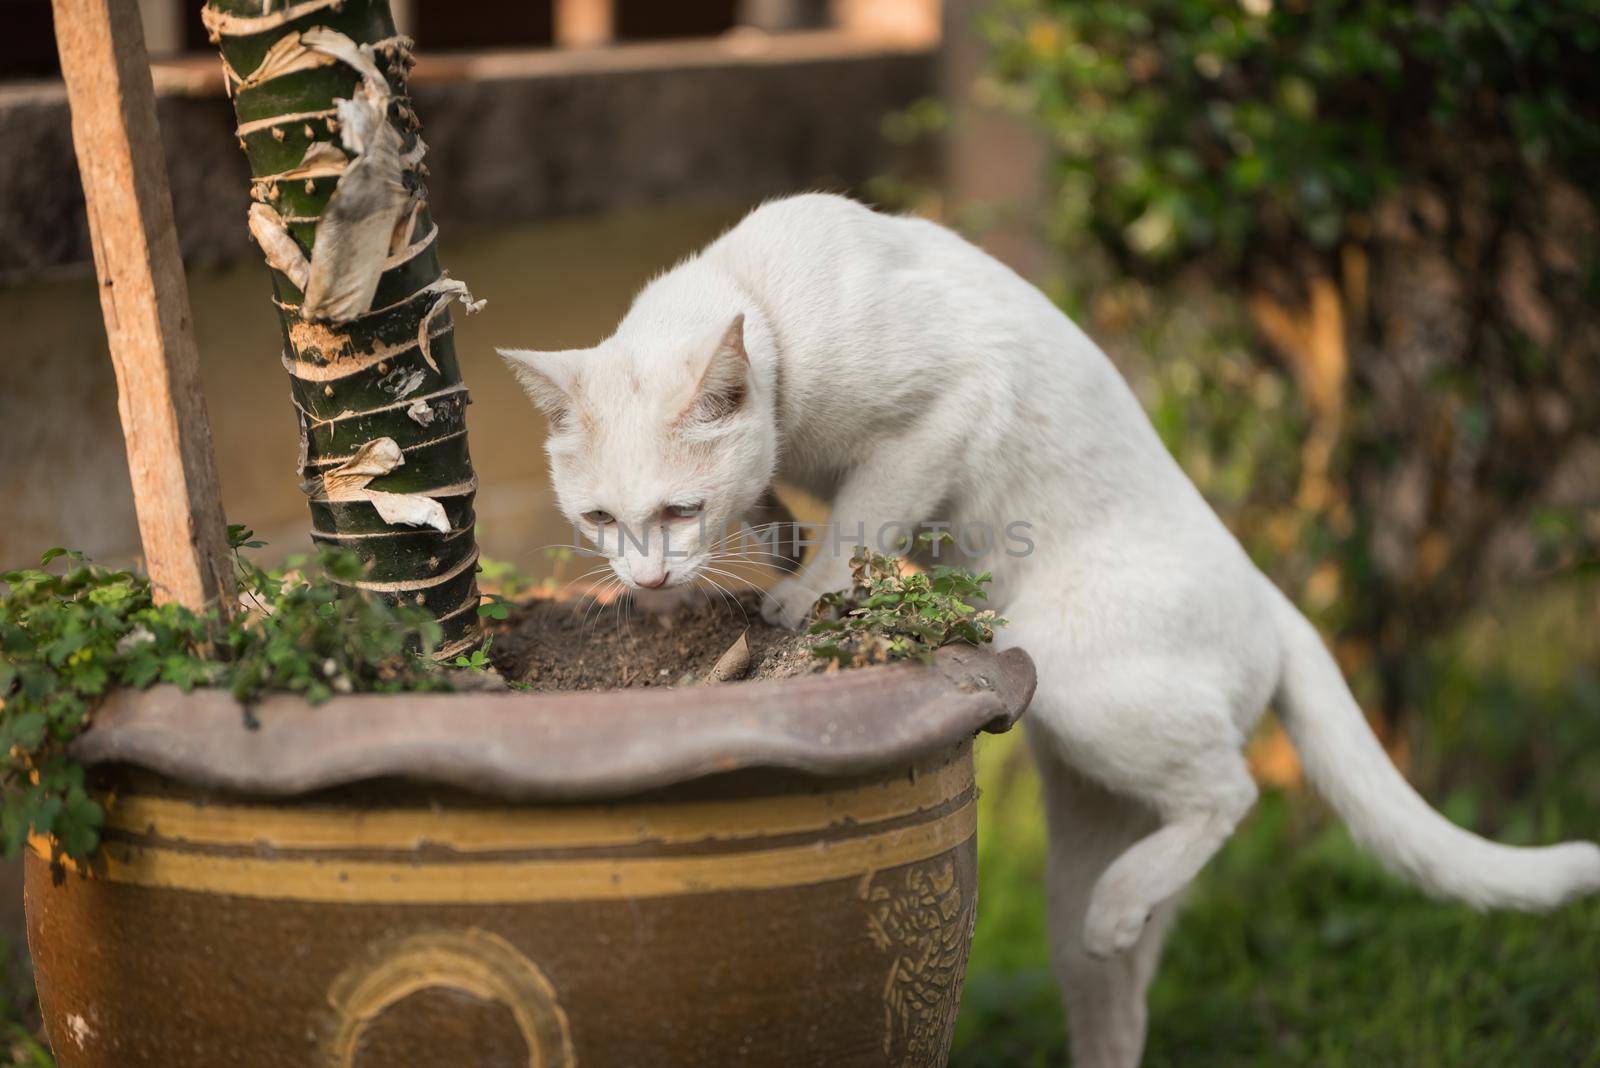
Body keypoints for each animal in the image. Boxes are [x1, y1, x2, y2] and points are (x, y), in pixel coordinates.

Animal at [502, 194, 1600, 1068]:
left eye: (678, 511)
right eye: (599, 519)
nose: (646, 573)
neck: (762, 295)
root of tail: (1268, 592)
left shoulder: (938, 420)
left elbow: (858, 519)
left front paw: (800, 597)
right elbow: (782, 503)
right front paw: (773, 553)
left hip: (1077, 681)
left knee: (1231, 792)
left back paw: (1125, 903)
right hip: (1080, 856)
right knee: (1121, 998)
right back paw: (1122, 922)